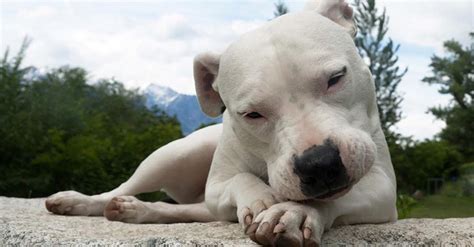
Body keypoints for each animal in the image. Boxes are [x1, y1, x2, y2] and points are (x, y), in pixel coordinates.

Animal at [47, 0, 396, 245]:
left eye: (336, 78)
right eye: (251, 114)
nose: (319, 163)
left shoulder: (382, 189)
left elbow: (344, 195)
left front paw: (295, 211)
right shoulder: (216, 186)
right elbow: (240, 179)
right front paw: (262, 197)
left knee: (192, 210)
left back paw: (139, 211)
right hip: (174, 155)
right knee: (125, 187)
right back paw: (80, 202)